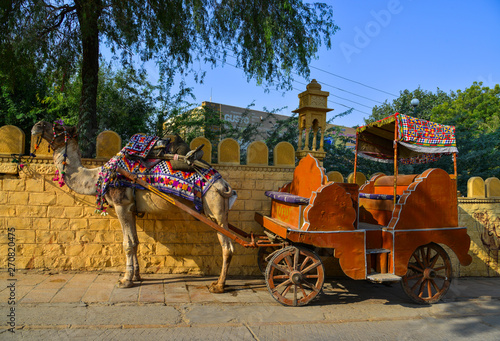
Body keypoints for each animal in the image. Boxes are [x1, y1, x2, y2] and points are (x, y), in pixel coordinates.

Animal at [32, 121, 237, 290]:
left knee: (227, 247)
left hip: (215, 208)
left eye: (59, 127)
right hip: (218, 212)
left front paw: (125, 280)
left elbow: (128, 244)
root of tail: (225, 184)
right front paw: (137, 276)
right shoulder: (130, 208)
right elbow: (136, 241)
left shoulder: (121, 204)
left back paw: (218, 286)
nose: (37, 125)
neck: (99, 176)